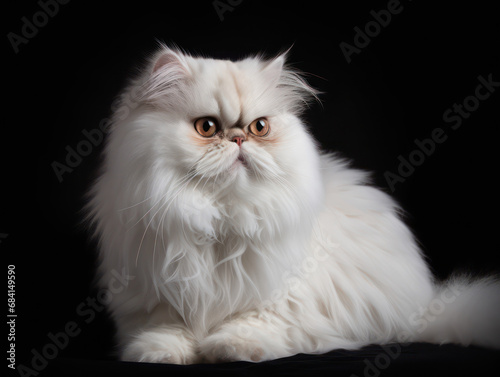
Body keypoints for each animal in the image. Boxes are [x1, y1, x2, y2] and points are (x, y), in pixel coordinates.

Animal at [87, 45, 500, 362]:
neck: (222, 219)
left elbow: (256, 323)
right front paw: (159, 352)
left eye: (259, 128)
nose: (238, 139)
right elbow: (164, 328)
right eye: (207, 128)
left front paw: (228, 347)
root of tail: (426, 305)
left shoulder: (284, 298)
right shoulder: (156, 293)